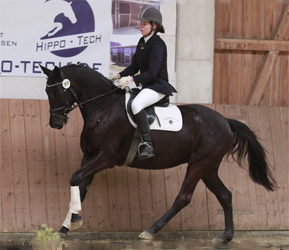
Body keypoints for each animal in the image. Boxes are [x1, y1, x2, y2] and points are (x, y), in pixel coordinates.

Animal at [40, 64, 274, 242]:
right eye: (47, 93)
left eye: (57, 92)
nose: (56, 124)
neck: (102, 108)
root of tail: (226, 121)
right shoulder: (89, 157)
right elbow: (81, 187)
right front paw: (65, 227)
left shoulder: (105, 158)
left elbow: (75, 178)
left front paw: (73, 221)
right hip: (209, 167)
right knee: (225, 195)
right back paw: (226, 236)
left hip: (199, 164)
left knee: (183, 197)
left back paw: (150, 231)